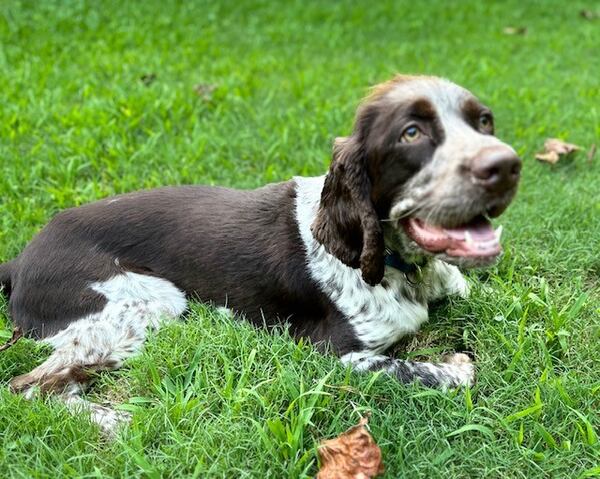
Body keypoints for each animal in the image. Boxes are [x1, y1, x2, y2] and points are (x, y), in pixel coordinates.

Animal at [0, 75, 520, 436]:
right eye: (411, 133)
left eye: (484, 121)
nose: (506, 166)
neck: (403, 268)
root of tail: (21, 259)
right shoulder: (335, 353)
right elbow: (430, 370)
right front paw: (456, 365)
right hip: (150, 303)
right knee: (29, 387)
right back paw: (116, 421)